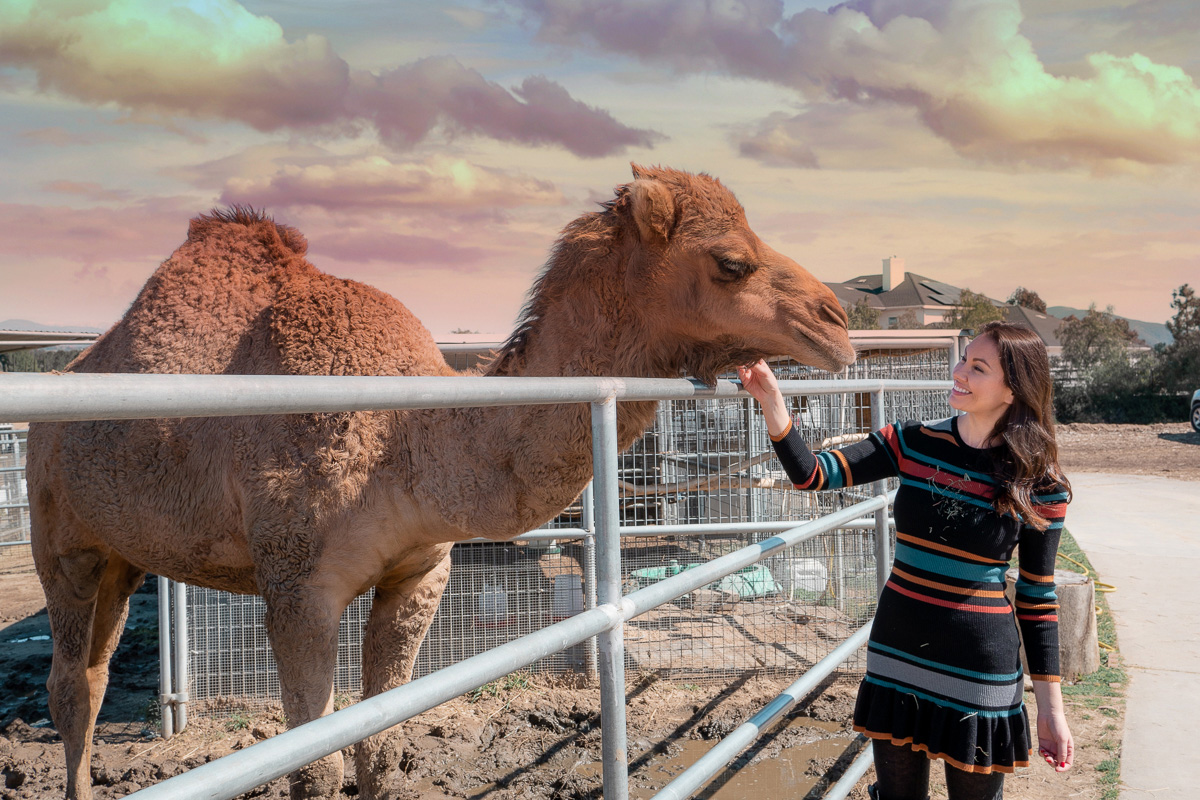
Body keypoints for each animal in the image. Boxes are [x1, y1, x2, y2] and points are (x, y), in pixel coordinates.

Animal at [28, 164, 854, 800]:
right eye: (731, 262)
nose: (838, 321)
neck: (404, 435)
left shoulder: (419, 571)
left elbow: (380, 741)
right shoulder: (298, 587)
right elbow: (314, 765)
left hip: (123, 555)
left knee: (95, 667)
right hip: (60, 536)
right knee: (72, 688)